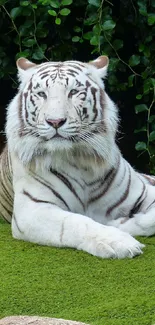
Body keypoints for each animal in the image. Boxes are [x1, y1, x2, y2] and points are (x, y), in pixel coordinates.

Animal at [0, 55, 154, 258]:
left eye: (73, 92)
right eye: (42, 94)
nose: (55, 121)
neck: (80, 159)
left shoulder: (144, 191)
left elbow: (150, 220)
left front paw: (120, 223)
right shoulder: (32, 209)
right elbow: (77, 223)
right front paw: (119, 241)